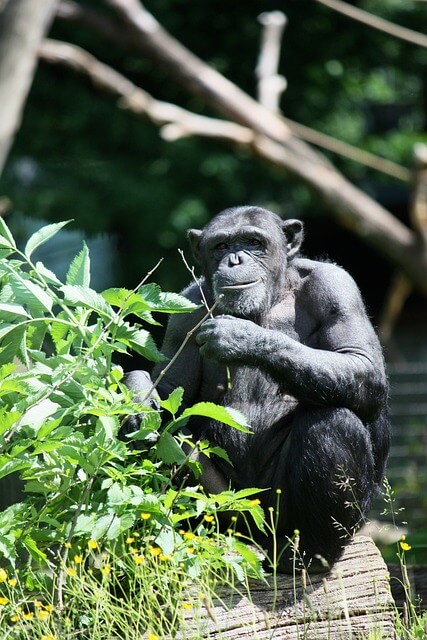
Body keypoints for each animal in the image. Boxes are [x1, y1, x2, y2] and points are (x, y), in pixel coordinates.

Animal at [125, 208, 390, 572]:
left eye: (253, 242)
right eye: (221, 245)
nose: (235, 259)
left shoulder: (337, 287)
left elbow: (361, 364)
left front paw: (239, 336)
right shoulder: (185, 312)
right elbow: (170, 391)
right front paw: (136, 400)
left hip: (281, 515)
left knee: (334, 419)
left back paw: (310, 555)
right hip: (231, 509)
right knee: (171, 441)